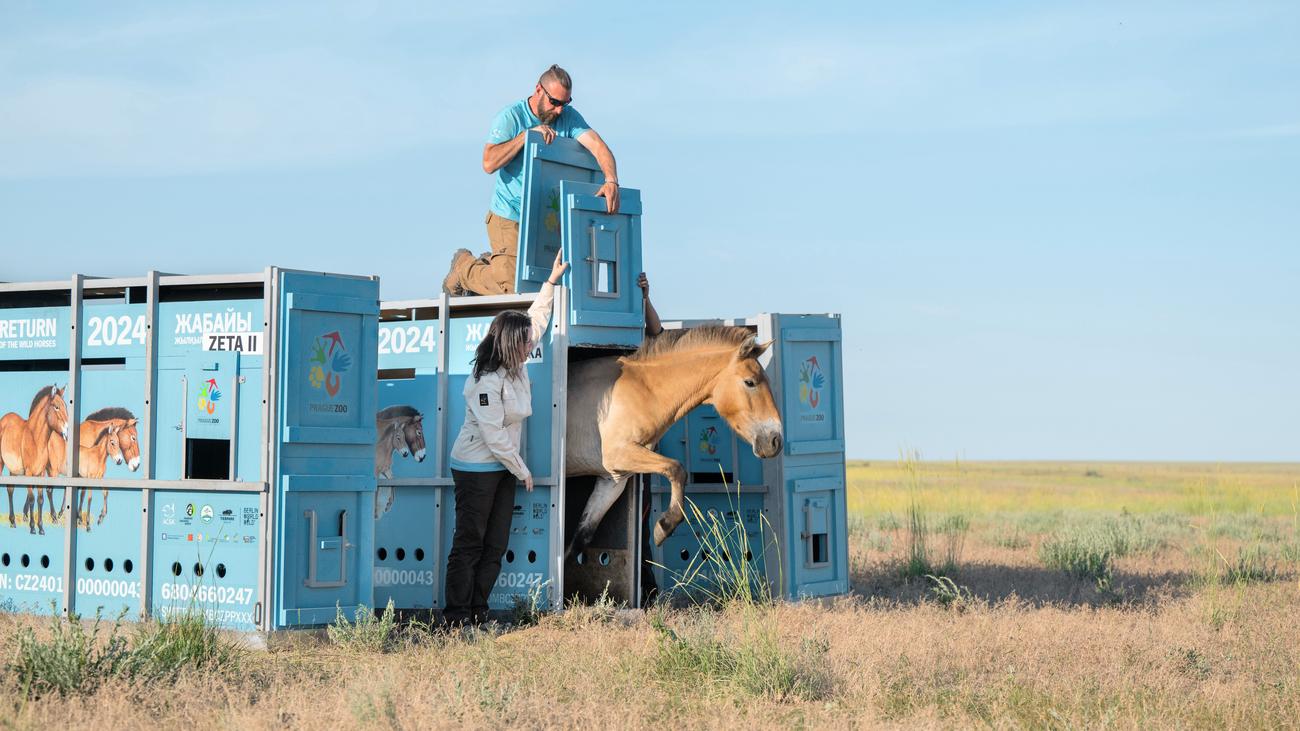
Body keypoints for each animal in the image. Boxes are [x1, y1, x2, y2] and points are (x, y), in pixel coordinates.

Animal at [0, 385, 71, 533]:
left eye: (66, 406)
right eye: (56, 407)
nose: (67, 433)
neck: (35, 439)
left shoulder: (41, 473)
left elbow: (40, 499)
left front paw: (41, 527)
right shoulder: (29, 473)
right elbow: (33, 498)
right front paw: (32, 527)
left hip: (13, 470)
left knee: (10, 490)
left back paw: (13, 521)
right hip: (1, 462)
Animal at [561, 325, 780, 556]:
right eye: (750, 382)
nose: (775, 440)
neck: (644, 390)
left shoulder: (613, 479)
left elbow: (580, 538)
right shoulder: (620, 454)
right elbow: (676, 469)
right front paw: (665, 526)